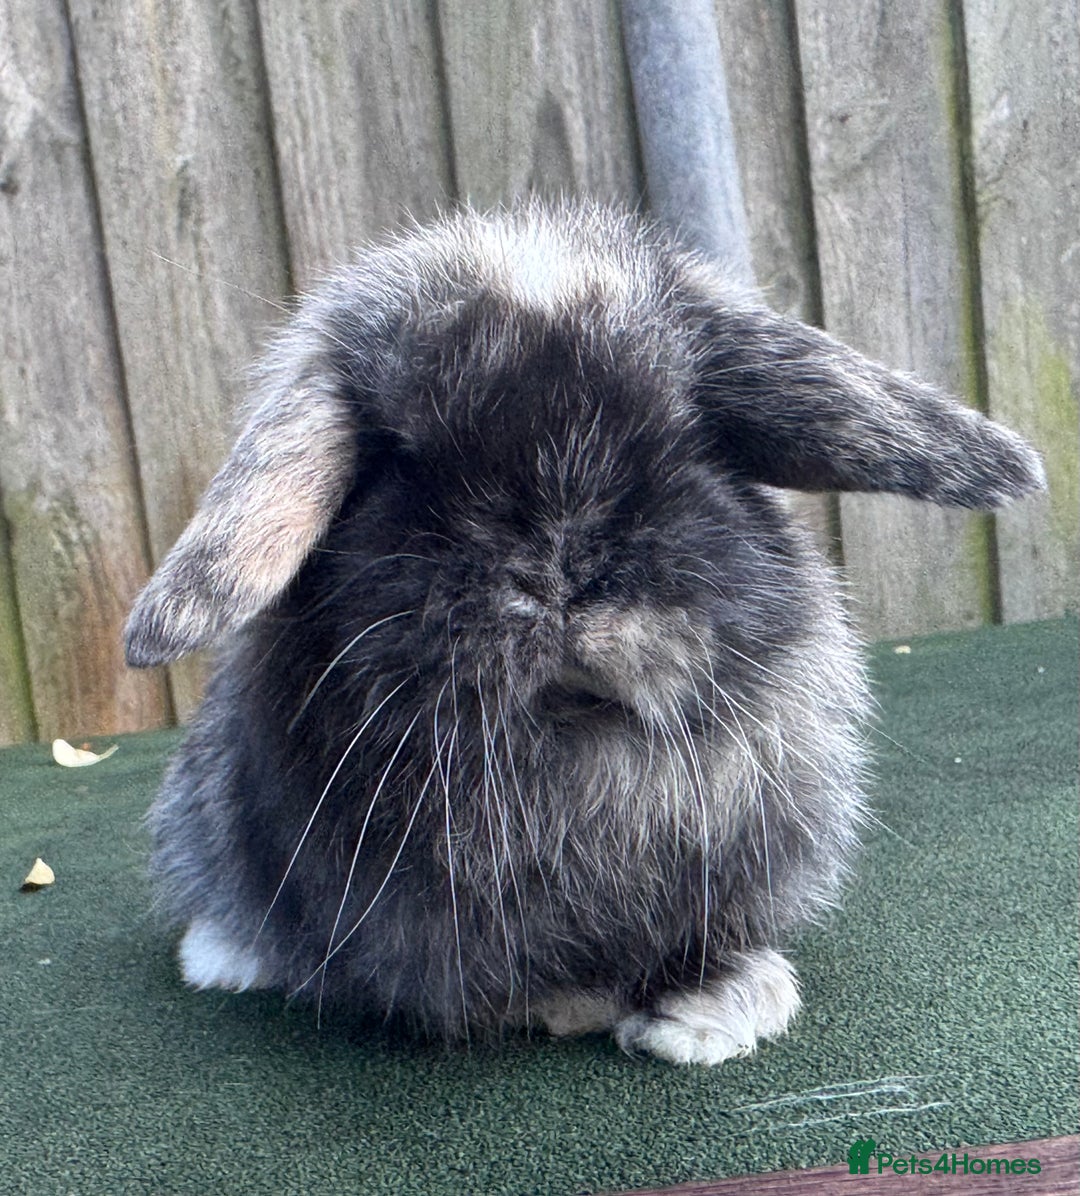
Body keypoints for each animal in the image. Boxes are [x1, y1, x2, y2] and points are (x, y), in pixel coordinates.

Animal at [126, 199, 1045, 1064]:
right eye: (396, 455)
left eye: (685, 436)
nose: (559, 572)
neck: (576, 750)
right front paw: (578, 1007)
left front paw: (707, 1015)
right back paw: (225, 956)